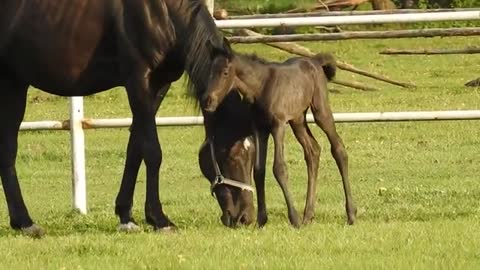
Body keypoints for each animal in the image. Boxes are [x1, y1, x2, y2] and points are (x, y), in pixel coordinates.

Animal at [0, 0, 234, 236]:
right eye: (233, 155)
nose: (239, 217)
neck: (163, 14)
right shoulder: (139, 82)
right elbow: (152, 151)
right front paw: (159, 219)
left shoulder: (159, 86)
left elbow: (135, 148)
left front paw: (126, 216)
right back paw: (26, 222)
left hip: (14, 85)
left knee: (7, 151)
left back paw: (23, 222)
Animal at [202, 51, 356, 228]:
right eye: (210, 71)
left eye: (225, 72)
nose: (207, 100)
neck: (261, 87)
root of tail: (315, 60)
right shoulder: (260, 128)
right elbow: (259, 171)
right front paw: (261, 220)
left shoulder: (278, 125)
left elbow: (279, 168)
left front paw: (294, 219)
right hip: (298, 119)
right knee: (313, 151)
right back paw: (308, 216)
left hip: (320, 111)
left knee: (338, 149)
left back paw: (351, 214)